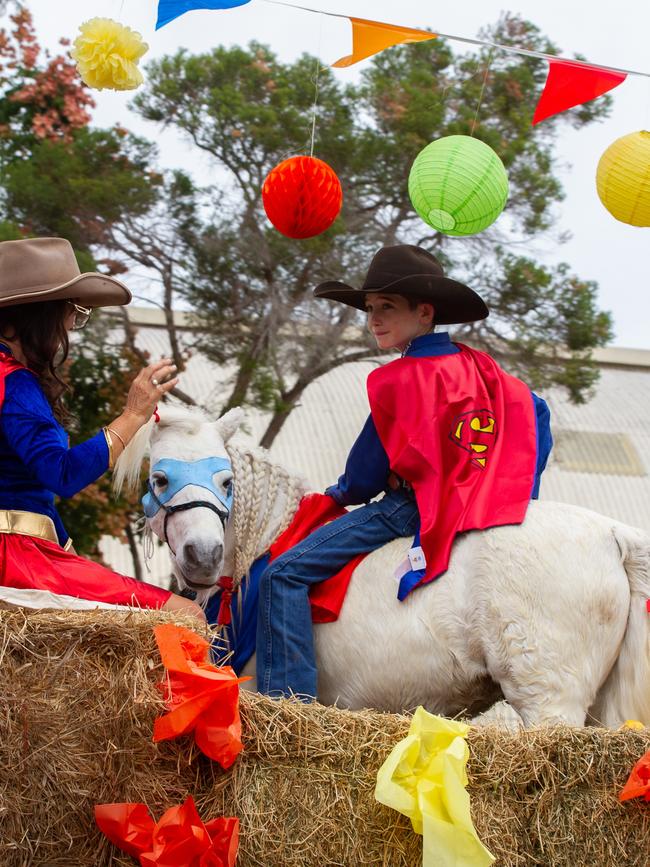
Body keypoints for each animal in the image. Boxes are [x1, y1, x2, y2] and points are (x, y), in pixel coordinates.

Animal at [114, 404, 648, 728]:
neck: (268, 538)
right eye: (160, 479)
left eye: (226, 481)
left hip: (550, 701)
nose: (201, 554)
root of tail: (612, 533)